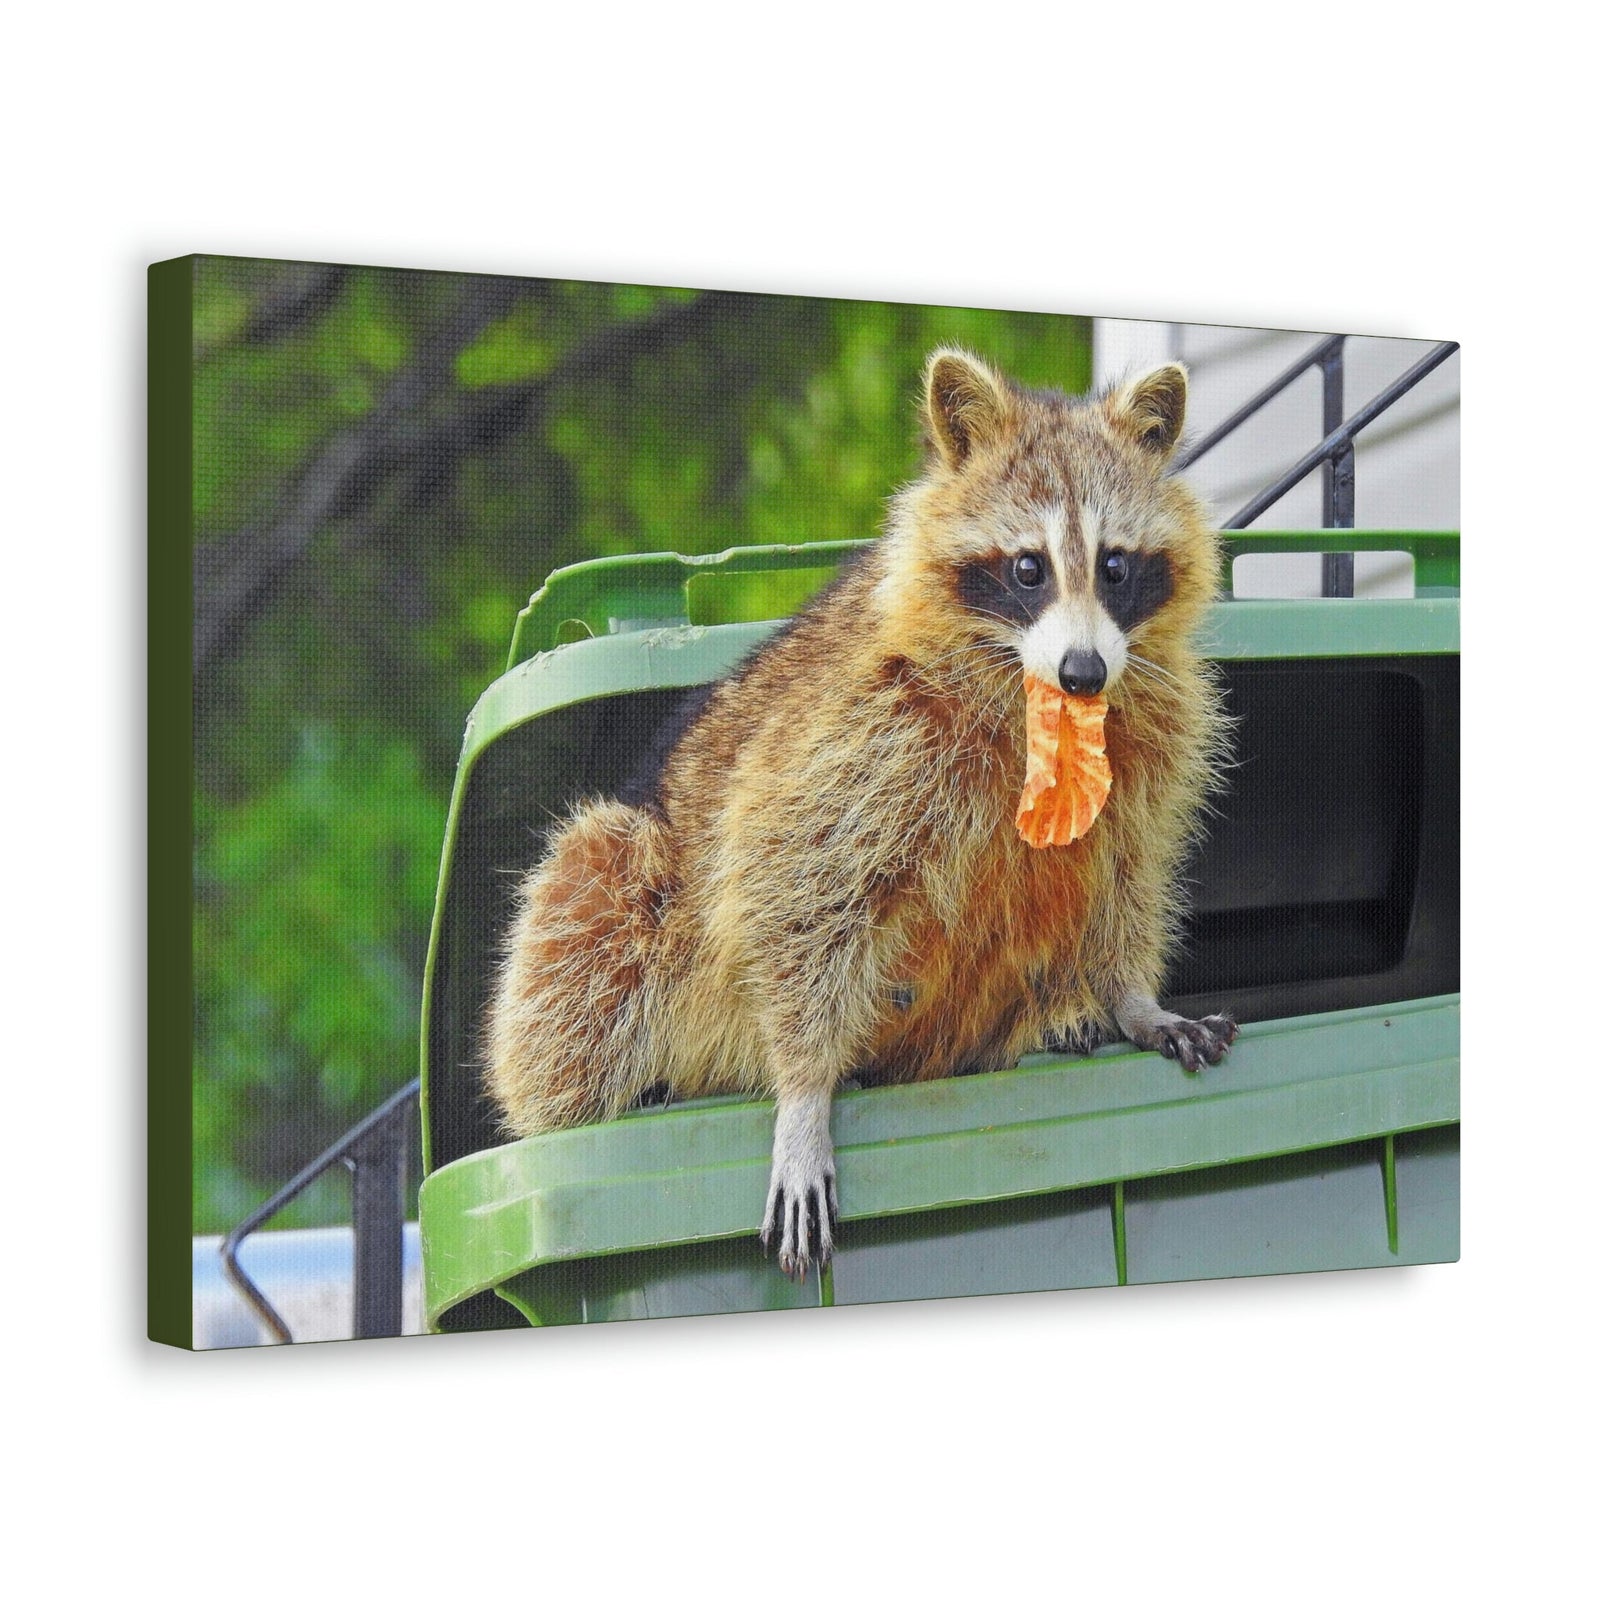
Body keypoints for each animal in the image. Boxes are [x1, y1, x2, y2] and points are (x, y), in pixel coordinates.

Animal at [485, 348, 1236, 1280]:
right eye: (1029, 568)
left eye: (1116, 566)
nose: (1085, 671)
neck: (1041, 699)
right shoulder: (860, 728)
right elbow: (788, 876)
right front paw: (804, 1093)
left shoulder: (1149, 740)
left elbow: (1126, 869)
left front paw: (1130, 994)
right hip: (624, 883)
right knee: (587, 905)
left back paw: (1052, 1016)